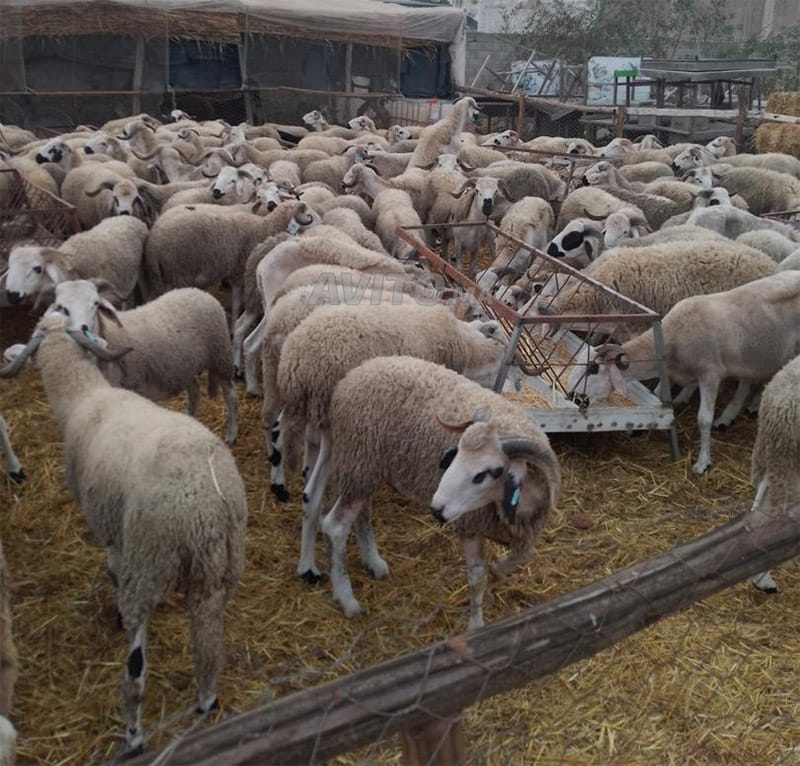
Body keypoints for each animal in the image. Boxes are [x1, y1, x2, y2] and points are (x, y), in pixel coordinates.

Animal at [0, 313, 247, 756]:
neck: (84, 396)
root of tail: (206, 509)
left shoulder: (110, 527)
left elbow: (112, 566)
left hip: (148, 564)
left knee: (135, 669)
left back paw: (134, 735)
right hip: (219, 570)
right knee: (208, 643)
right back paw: (206, 700)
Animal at [49, 280, 238, 444]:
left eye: (95, 303)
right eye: (61, 307)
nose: (82, 330)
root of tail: (198, 291)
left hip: (220, 356)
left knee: (230, 395)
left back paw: (231, 434)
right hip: (184, 366)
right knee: (194, 389)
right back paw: (190, 417)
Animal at [142, 199, 320, 321]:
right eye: (309, 214)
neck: (263, 228)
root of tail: (152, 245)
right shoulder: (239, 274)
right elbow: (237, 305)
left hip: (159, 278)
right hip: (177, 275)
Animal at [321, 355, 559, 628]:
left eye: (489, 472)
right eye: (455, 455)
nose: (436, 509)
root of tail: (354, 374)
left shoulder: (522, 529)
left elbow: (526, 554)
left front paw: (499, 567)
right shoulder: (469, 525)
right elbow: (477, 578)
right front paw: (476, 626)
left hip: (367, 468)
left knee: (363, 512)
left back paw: (373, 562)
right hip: (359, 459)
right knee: (335, 527)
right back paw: (346, 598)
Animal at [566, 271, 800, 475]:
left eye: (593, 369)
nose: (572, 396)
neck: (674, 337)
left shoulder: (710, 374)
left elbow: (703, 419)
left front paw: (702, 463)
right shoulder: (673, 371)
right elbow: (657, 396)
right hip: (752, 354)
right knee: (747, 383)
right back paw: (728, 416)